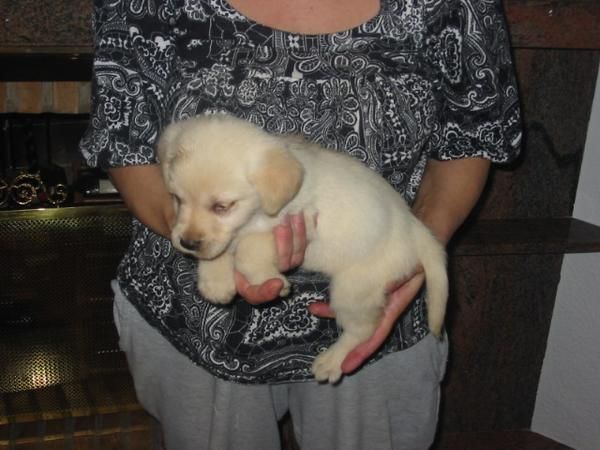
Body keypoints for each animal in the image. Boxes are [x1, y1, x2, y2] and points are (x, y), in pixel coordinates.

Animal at [157, 113, 448, 384]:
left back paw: (332, 360)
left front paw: (265, 277)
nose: (187, 243)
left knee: (363, 330)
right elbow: (220, 249)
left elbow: (248, 251)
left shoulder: (293, 224)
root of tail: (413, 226)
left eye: (222, 206)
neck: (259, 212)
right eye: (177, 199)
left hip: (353, 290)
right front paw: (216, 282)